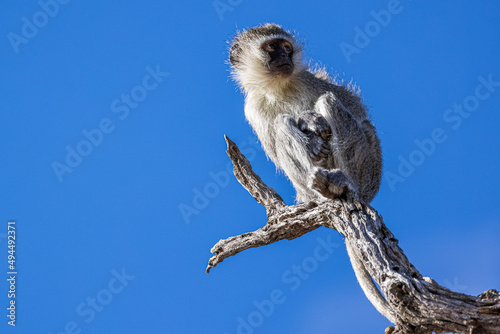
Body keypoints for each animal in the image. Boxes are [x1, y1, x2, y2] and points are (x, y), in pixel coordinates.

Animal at [227, 22, 394, 324]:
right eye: (272, 47)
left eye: (287, 47)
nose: (285, 56)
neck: (278, 88)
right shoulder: (252, 108)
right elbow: (274, 143)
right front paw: (305, 123)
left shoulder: (311, 81)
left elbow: (359, 115)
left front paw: (310, 119)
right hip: (306, 187)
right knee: (280, 126)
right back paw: (323, 190)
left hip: (370, 170)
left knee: (330, 103)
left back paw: (344, 184)